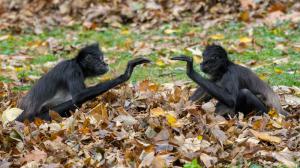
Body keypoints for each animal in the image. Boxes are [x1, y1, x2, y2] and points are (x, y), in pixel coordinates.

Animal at [16, 43, 150, 121]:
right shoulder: (72, 70)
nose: (106, 63)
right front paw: (125, 74)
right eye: (101, 59)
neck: (78, 64)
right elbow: (78, 96)